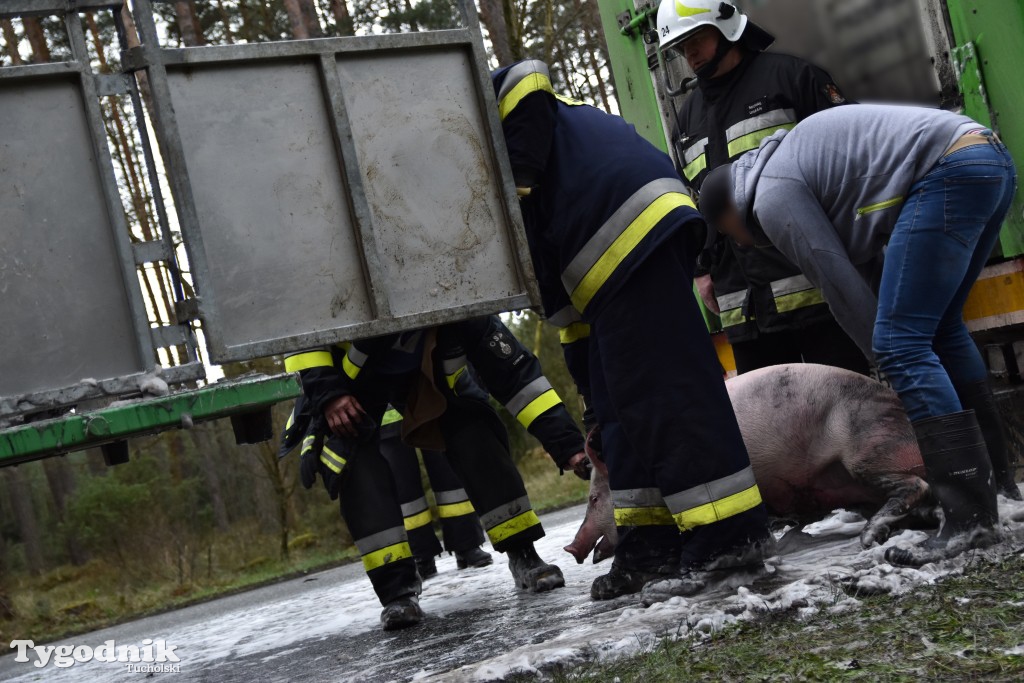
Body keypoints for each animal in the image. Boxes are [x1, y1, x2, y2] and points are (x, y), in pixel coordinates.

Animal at [565, 362, 933, 561]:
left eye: (594, 499)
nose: (571, 547)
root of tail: (902, 410)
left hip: (866, 449)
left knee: (916, 485)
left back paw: (868, 539)